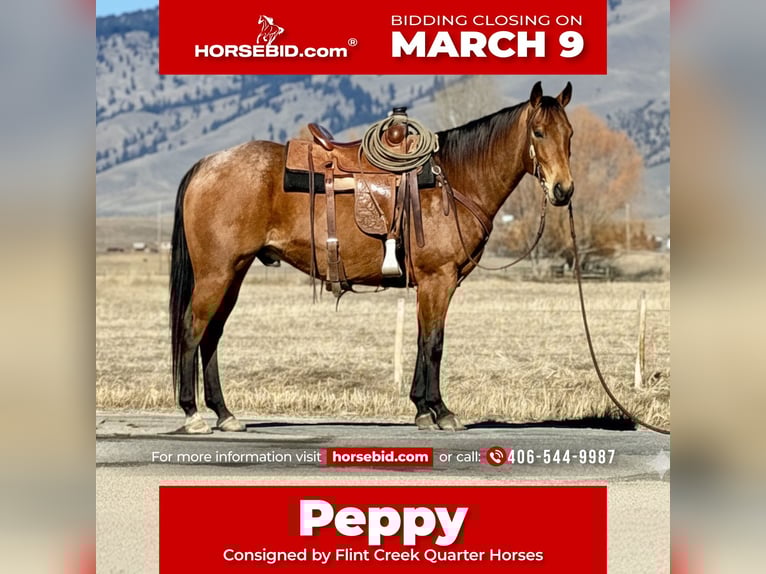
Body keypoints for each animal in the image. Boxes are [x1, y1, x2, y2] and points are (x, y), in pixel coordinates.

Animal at [169, 81, 574, 434]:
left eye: (569, 134)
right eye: (539, 132)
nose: (563, 190)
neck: (454, 180)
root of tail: (207, 163)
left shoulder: (431, 285)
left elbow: (421, 341)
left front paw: (422, 410)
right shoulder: (438, 279)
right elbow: (434, 343)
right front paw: (441, 411)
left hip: (234, 273)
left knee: (212, 334)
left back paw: (225, 414)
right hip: (216, 273)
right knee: (193, 329)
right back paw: (192, 414)